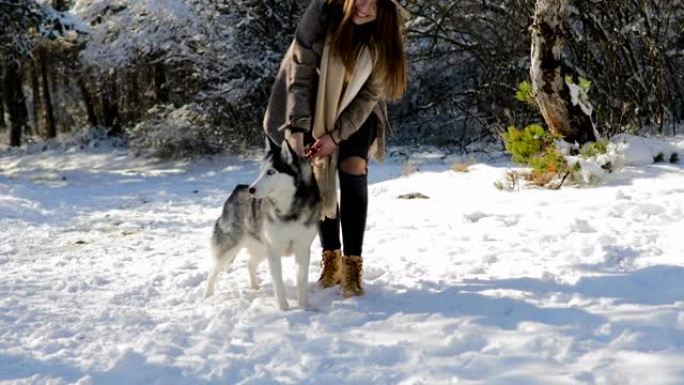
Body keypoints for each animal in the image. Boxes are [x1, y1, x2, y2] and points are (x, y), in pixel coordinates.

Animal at [204, 135, 322, 308]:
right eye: (261, 171)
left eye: (271, 172)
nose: (251, 190)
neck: (289, 211)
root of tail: (237, 189)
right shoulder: (274, 251)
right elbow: (278, 284)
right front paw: (284, 308)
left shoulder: (302, 249)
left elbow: (301, 281)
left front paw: (304, 307)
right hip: (230, 249)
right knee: (213, 271)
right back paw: (207, 296)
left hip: (261, 248)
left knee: (250, 264)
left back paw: (255, 287)